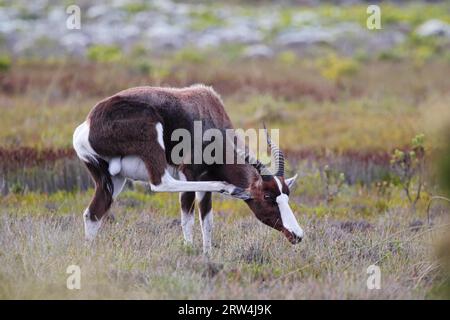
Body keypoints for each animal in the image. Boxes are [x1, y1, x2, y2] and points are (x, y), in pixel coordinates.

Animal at [74, 84, 304, 254]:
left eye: (287, 195)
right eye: (267, 197)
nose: (297, 234)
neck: (207, 111)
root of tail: (88, 123)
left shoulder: (203, 180)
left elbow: (207, 221)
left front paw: (207, 255)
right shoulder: (189, 174)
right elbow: (188, 219)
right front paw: (190, 250)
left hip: (113, 180)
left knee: (92, 214)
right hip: (152, 147)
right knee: (160, 183)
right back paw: (228, 188)